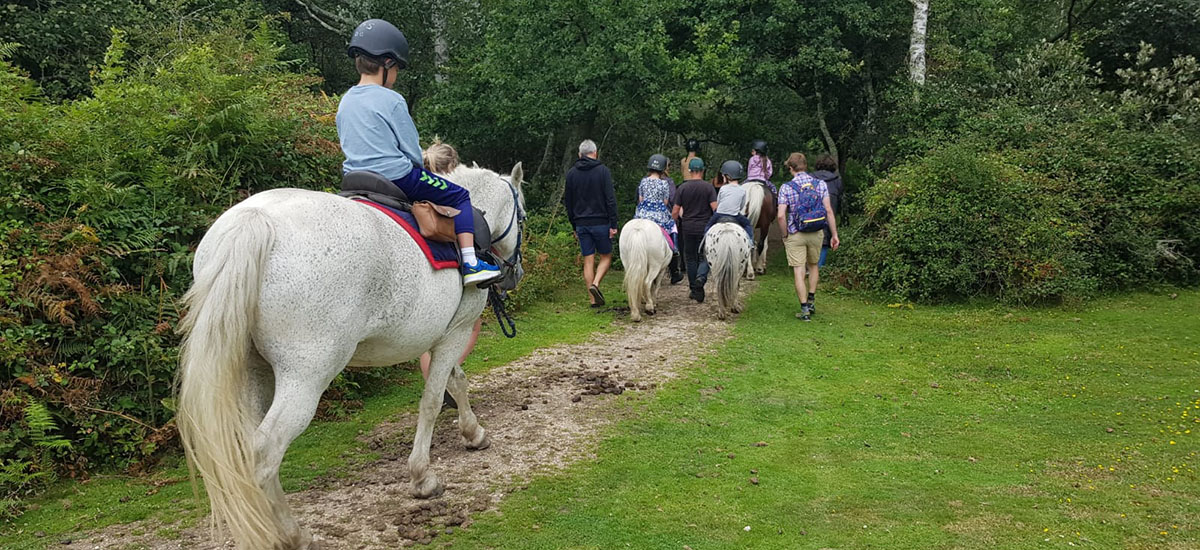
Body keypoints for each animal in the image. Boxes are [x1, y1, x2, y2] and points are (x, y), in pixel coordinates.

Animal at [175, 160, 525, 547]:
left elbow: (457, 383)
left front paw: (473, 433)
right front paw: (423, 477)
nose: (514, 273)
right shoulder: (454, 333)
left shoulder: (443, 336)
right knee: (264, 452)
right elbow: (432, 402)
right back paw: (294, 535)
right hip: (305, 378)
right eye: (522, 216)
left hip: (256, 371)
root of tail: (253, 220)